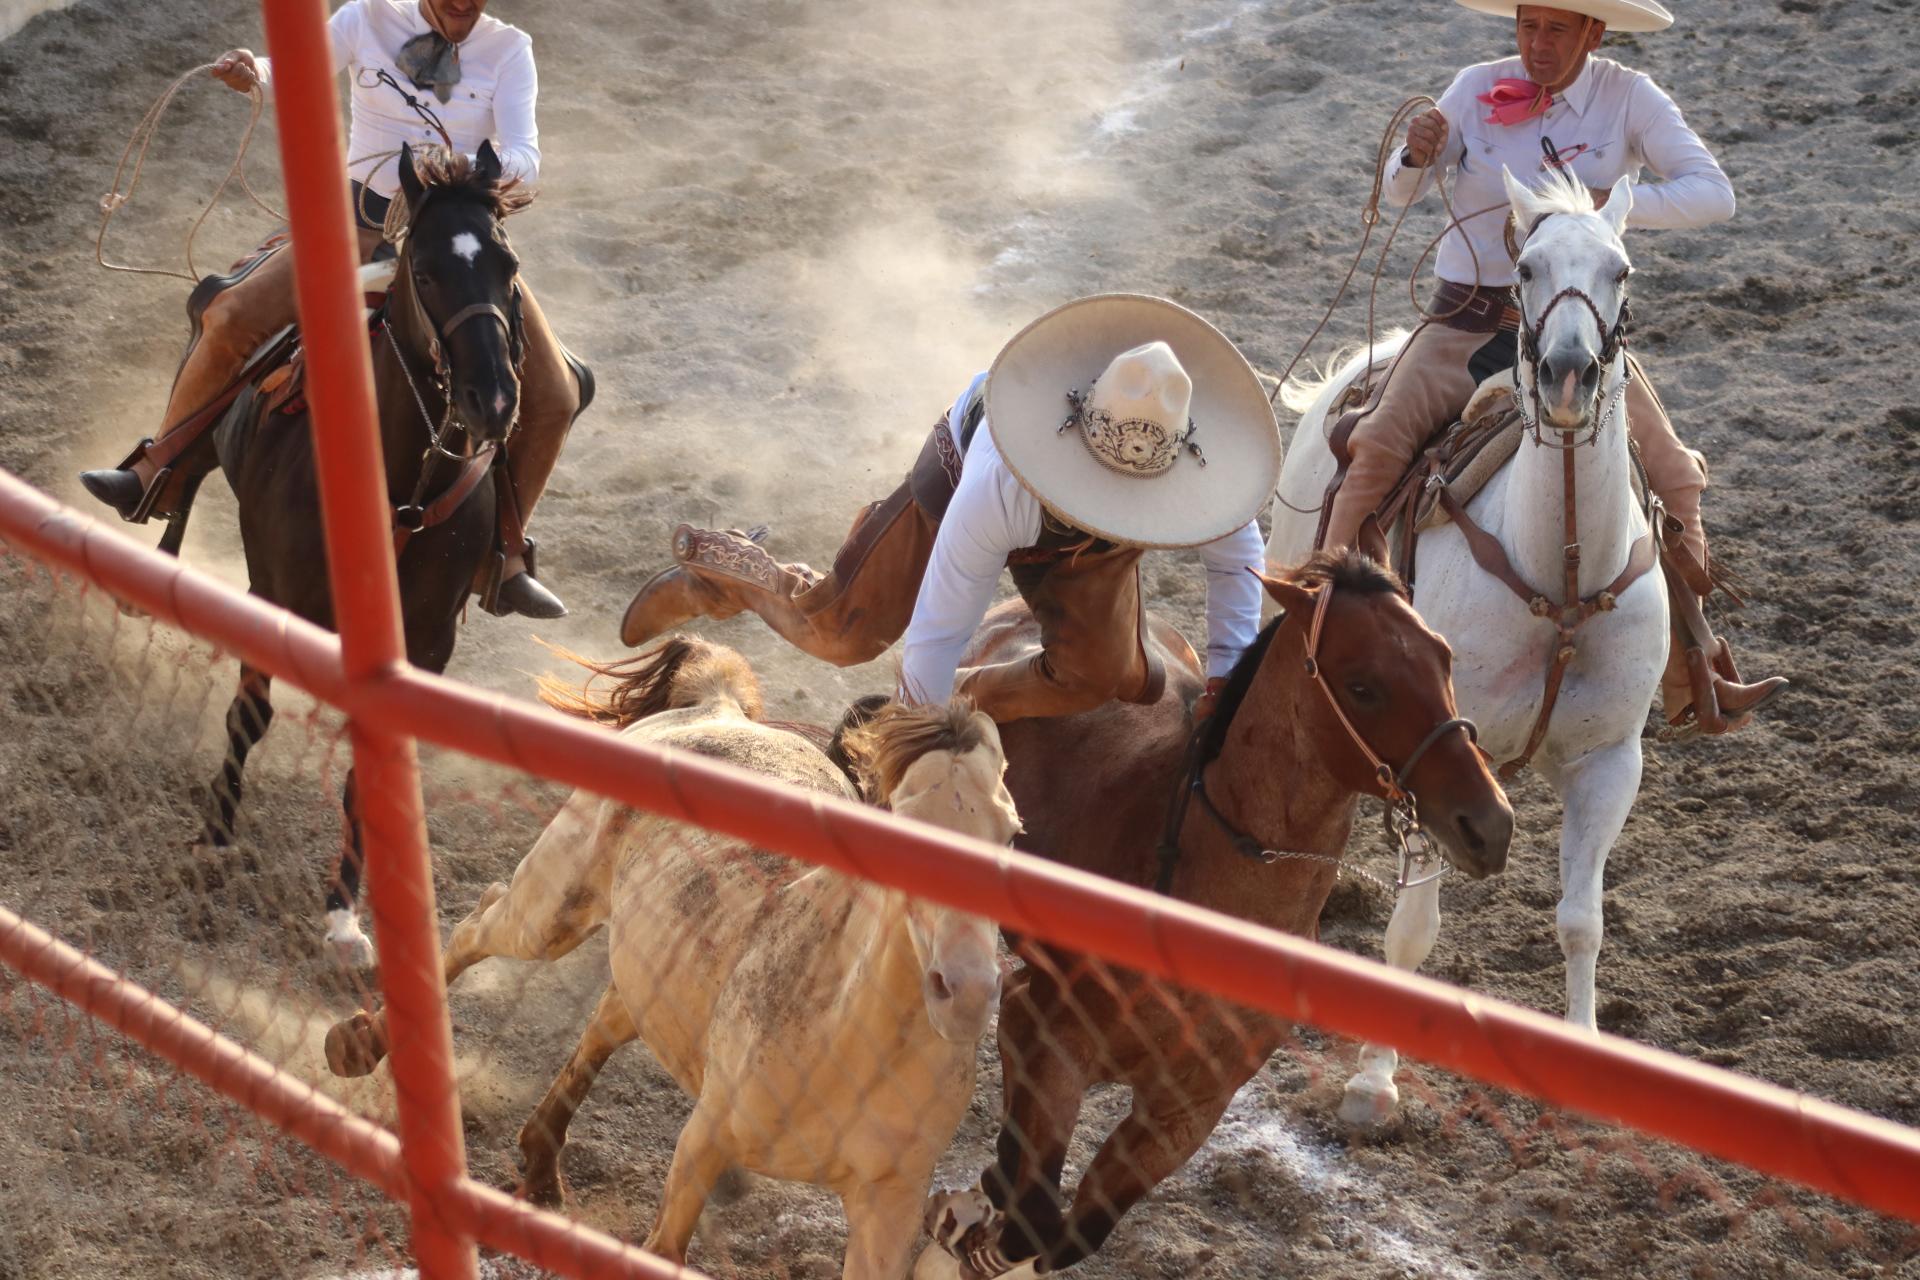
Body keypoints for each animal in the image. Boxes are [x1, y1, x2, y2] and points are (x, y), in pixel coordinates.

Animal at [206, 142, 560, 959]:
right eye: (424, 272)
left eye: (507, 264)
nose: (494, 400)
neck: (395, 484)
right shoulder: (269, 591)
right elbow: (249, 717)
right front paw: (211, 844)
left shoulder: (425, 642)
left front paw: (343, 916)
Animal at [913, 545, 1512, 1280]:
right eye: (1363, 685)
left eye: (1444, 657)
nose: (1488, 824)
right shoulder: (1043, 1033)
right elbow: (1032, 1217)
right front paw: (963, 1222)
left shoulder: (1189, 1110)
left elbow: (1074, 1231)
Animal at [1259, 167, 1666, 1120]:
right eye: (1524, 267)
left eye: (1622, 270)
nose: (1567, 374)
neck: (1559, 577)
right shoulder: (1428, 755)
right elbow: (1413, 931)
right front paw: (1374, 1083)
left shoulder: (1610, 760)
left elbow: (1581, 920)